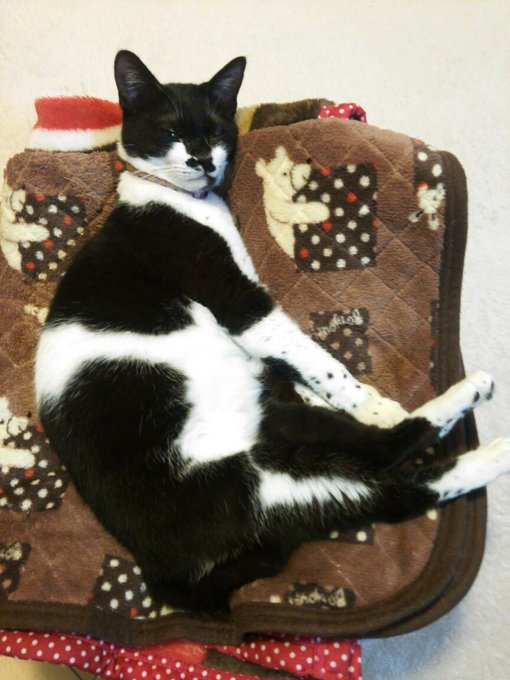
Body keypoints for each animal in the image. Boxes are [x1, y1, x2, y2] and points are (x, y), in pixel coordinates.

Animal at [34, 50, 510, 616]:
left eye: (215, 129)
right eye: (171, 130)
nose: (202, 160)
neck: (174, 197)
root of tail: (172, 572)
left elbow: (296, 358)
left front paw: (321, 391)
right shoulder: (238, 299)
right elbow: (314, 356)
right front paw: (368, 401)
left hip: (283, 451)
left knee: (390, 491)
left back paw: (488, 450)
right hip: (259, 476)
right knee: (390, 454)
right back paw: (465, 408)